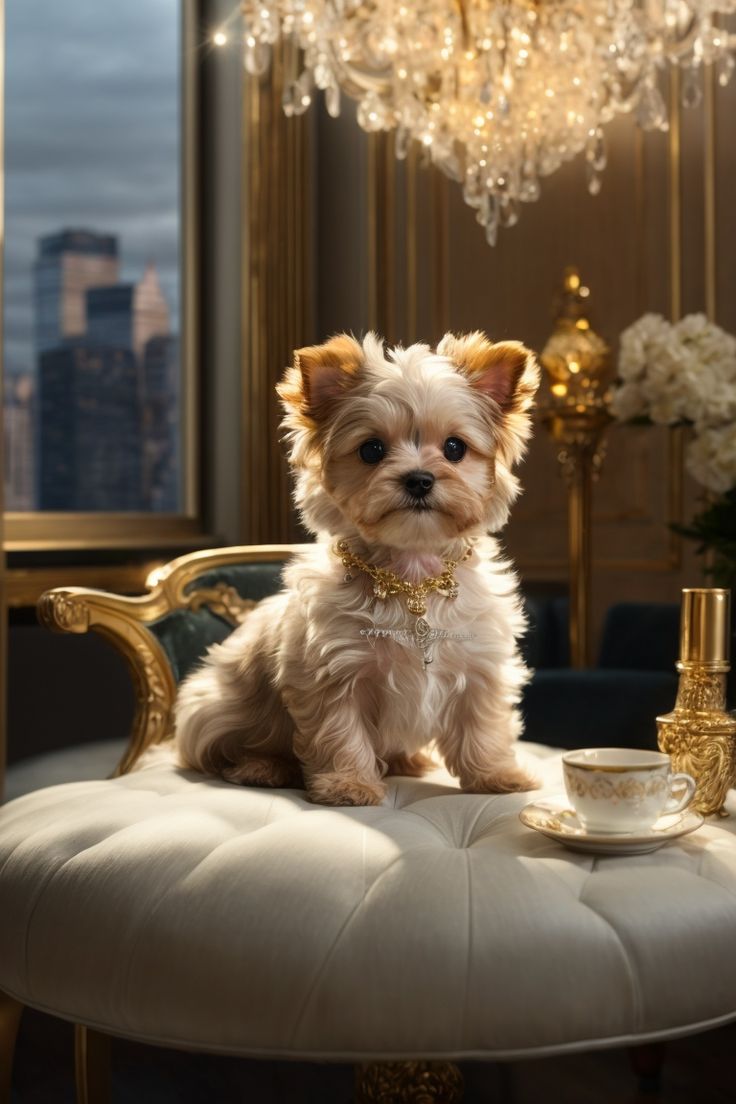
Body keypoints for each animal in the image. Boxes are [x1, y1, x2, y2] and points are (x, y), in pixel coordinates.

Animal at [175, 331, 538, 808]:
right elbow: (339, 733)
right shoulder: (332, 675)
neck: (411, 575)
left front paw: (496, 776)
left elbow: (484, 727)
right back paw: (264, 768)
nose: (419, 479)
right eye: (371, 450)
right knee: (223, 753)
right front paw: (348, 785)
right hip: (211, 709)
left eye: (455, 448)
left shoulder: (480, 667)